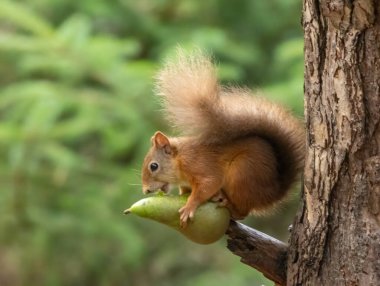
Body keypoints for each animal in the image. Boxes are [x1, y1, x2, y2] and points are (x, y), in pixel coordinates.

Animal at [141, 49, 304, 228]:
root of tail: (272, 193)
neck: (180, 161)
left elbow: (208, 185)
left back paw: (228, 205)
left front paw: (190, 206)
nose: (146, 190)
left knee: (243, 211)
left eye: (154, 166)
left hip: (243, 172)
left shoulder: (199, 165)